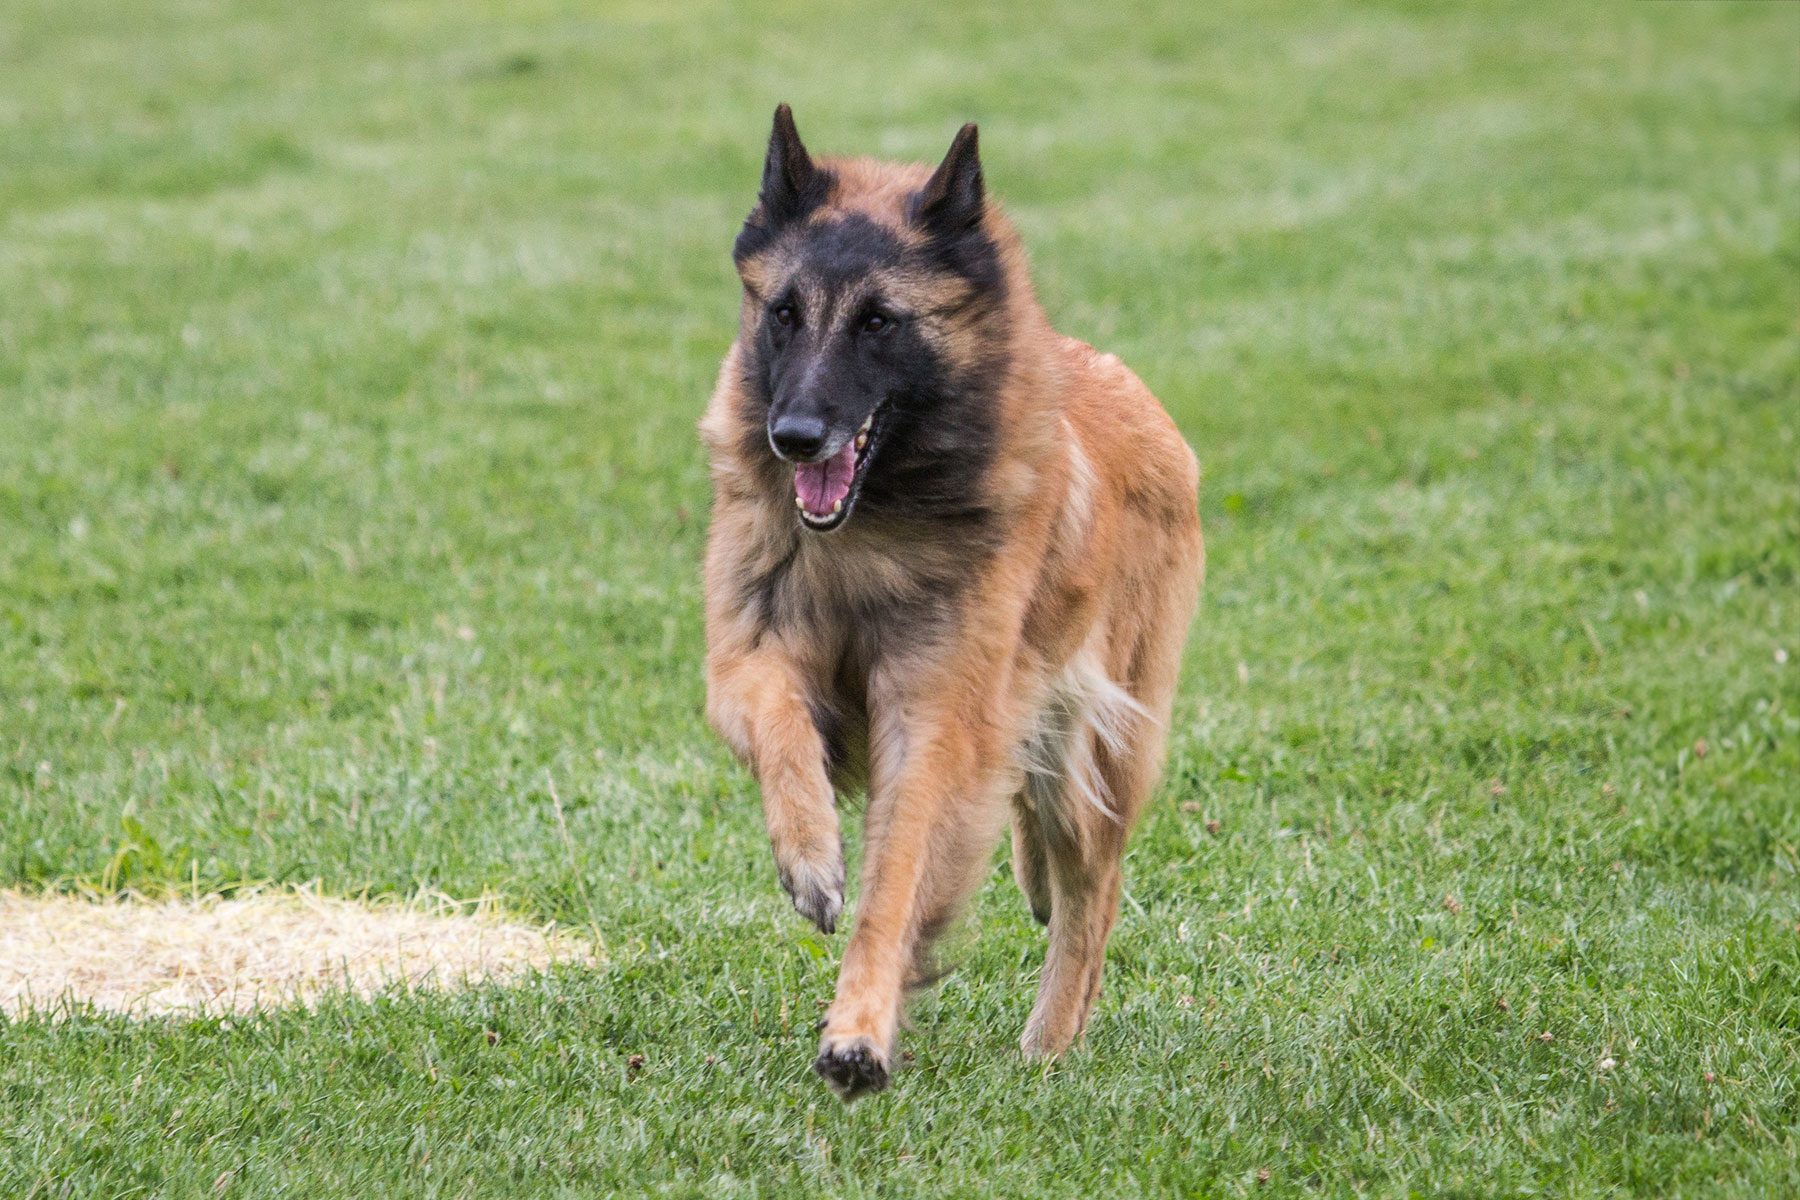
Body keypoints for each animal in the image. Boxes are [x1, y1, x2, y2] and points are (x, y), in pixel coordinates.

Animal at [694, 105, 1202, 1101]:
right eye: (783, 314)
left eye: (879, 321)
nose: (793, 436)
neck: (872, 529)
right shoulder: (745, 661)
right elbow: (781, 729)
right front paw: (810, 857)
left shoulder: (933, 722)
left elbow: (897, 883)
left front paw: (859, 1032)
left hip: (1095, 750)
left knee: (1092, 890)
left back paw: (1050, 1043)